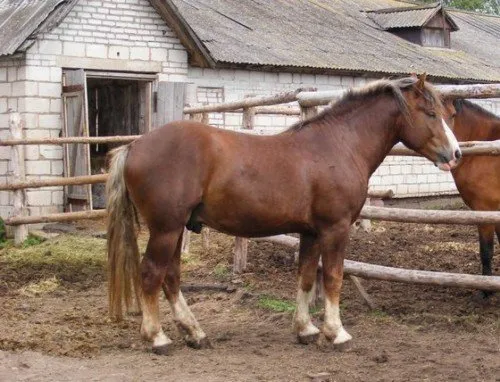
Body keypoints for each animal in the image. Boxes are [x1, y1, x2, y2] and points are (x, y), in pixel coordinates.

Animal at [106, 75, 460, 356]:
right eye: (430, 113)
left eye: (446, 114)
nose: (455, 154)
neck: (339, 145)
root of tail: (135, 146)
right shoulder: (335, 229)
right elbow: (333, 277)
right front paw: (336, 333)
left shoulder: (311, 232)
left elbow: (306, 276)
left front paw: (306, 330)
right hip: (165, 229)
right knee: (151, 274)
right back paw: (158, 338)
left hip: (176, 229)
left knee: (171, 276)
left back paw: (195, 334)